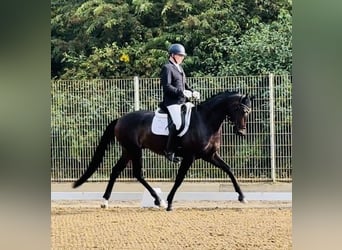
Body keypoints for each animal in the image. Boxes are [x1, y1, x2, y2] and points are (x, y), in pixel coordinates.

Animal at [73, 90, 254, 211]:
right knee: (137, 173)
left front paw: (242, 197)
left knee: (116, 171)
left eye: (248, 112)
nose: (242, 132)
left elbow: (229, 169)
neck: (205, 121)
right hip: (134, 150)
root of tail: (120, 119)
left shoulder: (209, 155)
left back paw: (105, 201)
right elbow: (179, 179)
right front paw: (170, 202)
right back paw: (159, 201)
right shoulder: (190, 156)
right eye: (239, 110)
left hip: (127, 151)